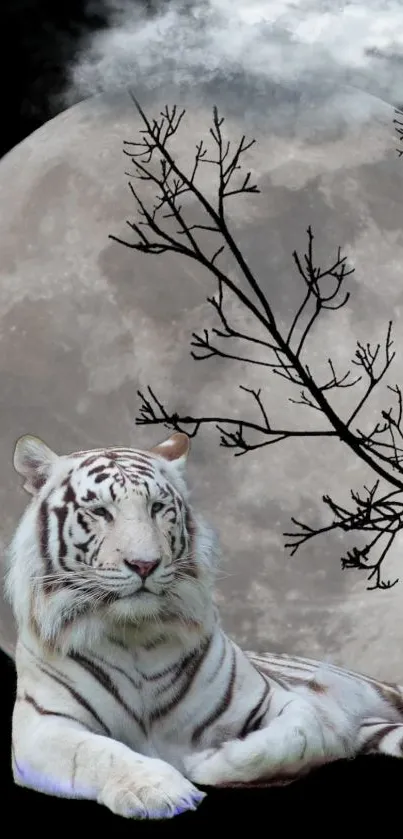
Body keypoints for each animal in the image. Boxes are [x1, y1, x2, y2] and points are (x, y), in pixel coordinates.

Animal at [4, 434, 403, 820]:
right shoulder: (43, 726)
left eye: (157, 508)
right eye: (100, 511)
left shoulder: (279, 700)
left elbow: (299, 734)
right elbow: (100, 753)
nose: (145, 564)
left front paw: (205, 762)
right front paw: (162, 791)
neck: (134, 634)